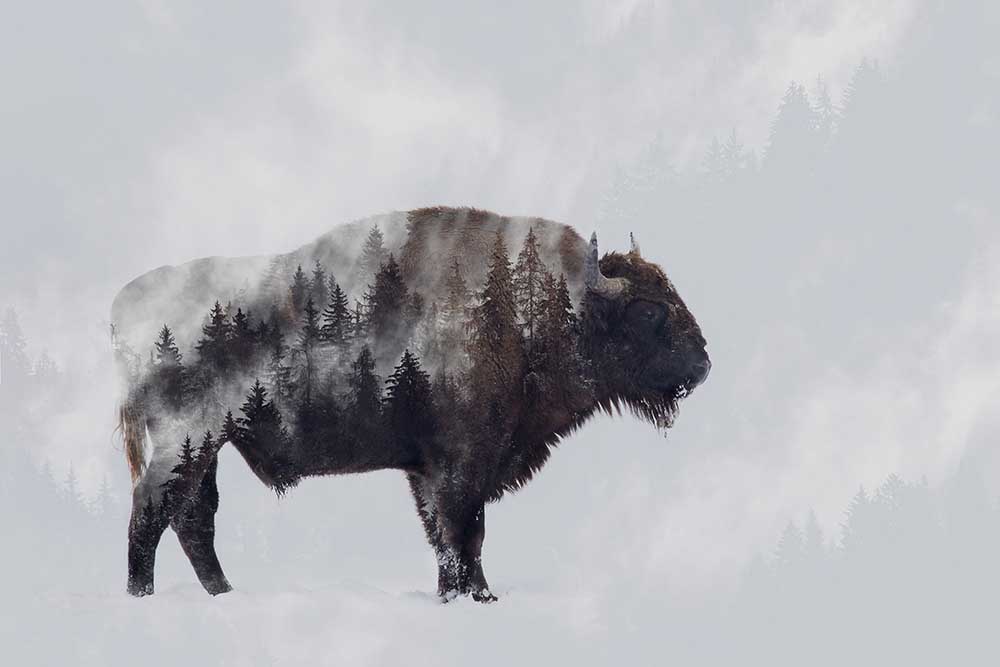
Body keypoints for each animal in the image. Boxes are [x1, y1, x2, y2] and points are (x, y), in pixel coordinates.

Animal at [113, 207, 708, 600]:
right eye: (648, 309)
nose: (703, 364)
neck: (543, 305)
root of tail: (125, 301)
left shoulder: (427, 470)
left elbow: (447, 535)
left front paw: (465, 595)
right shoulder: (460, 465)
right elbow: (464, 533)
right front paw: (475, 596)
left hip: (207, 447)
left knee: (193, 518)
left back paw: (224, 592)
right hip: (187, 441)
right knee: (152, 512)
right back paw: (143, 596)